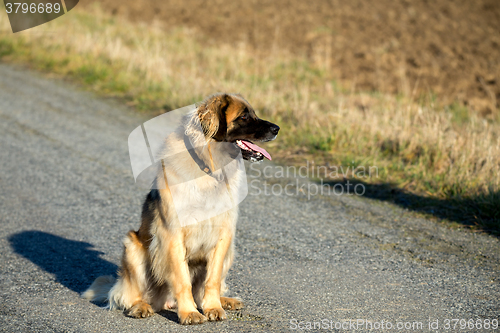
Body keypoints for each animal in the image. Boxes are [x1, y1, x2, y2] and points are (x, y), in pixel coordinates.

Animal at [81, 92, 278, 322]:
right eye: (244, 117)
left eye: (253, 113)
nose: (277, 129)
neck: (208, 168)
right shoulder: (172, 234)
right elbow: (182, 279)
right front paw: (190, 313)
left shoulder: (224, 234)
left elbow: (212, 279)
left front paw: (213, 307)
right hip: (132, 246)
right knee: (126, 295)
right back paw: (140, 307)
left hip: (230, 251)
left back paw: (225, 301)